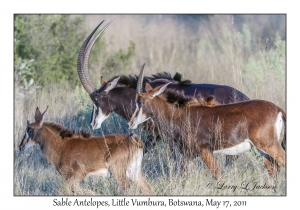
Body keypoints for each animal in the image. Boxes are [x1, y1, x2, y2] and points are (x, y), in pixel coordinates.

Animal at [19, 106, 152, 195]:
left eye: (29, 129)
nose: (20, 146)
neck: (62, 146)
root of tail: (135, 140)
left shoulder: (77, 175)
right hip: (133, 172)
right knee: (147, 188)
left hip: (118, 172)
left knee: (127, 189)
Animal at [128, 79, 286, 178]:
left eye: (139, 102)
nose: (130, 123)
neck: (180, 115)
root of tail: (278, 110)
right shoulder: (189, 155)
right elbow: (183, 177)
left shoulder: (204, 151)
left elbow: (218, 176)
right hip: (263, 150)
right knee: (274, 170)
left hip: (269, 146)